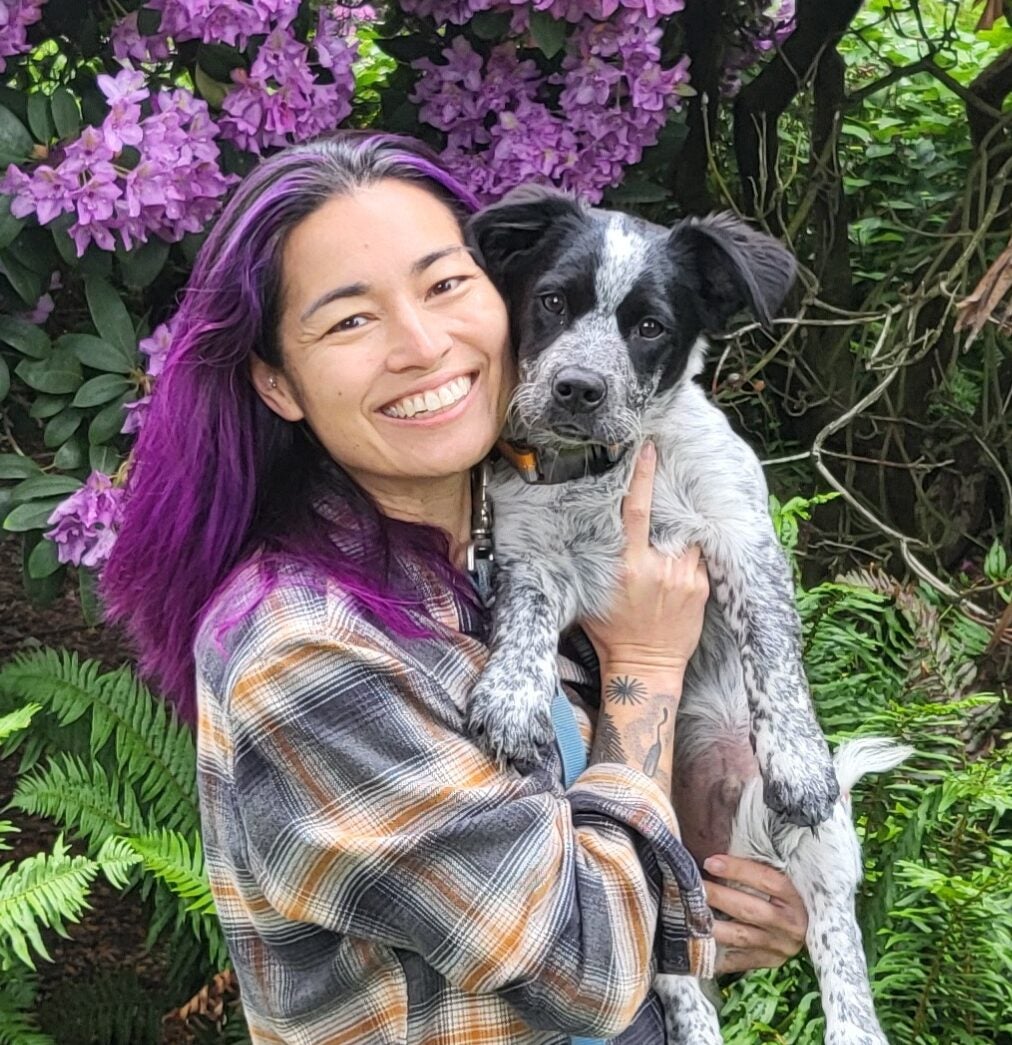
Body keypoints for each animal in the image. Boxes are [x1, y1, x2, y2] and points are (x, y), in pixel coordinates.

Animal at [463, 185, 910, 1044]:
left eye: (650, 327)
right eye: (552, 301)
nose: (577, 388)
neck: (607, 471)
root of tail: (705, 849)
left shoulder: (742, 538)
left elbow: (775, 656)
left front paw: (799, 759)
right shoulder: (533, 557)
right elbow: (521, 624)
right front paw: (511, 698)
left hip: (820, 848)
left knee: (837, 945)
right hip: (652, 868)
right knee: (679, 982)